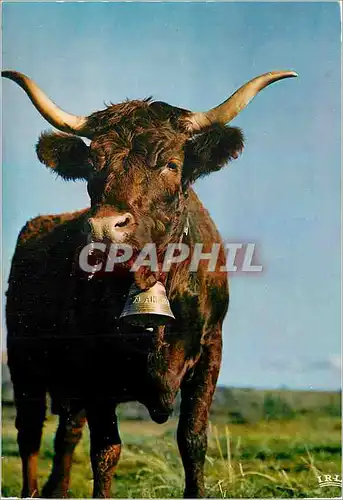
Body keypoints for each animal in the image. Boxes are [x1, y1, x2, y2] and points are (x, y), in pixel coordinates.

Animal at [2, 68, 296, 498]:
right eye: (92, 165)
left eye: (171, 164)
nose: (105, 226)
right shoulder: (95, 369)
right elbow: (106, 450)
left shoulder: (211, 350)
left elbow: (192, 439)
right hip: (23, 362)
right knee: (30, 434)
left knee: (66, 433)